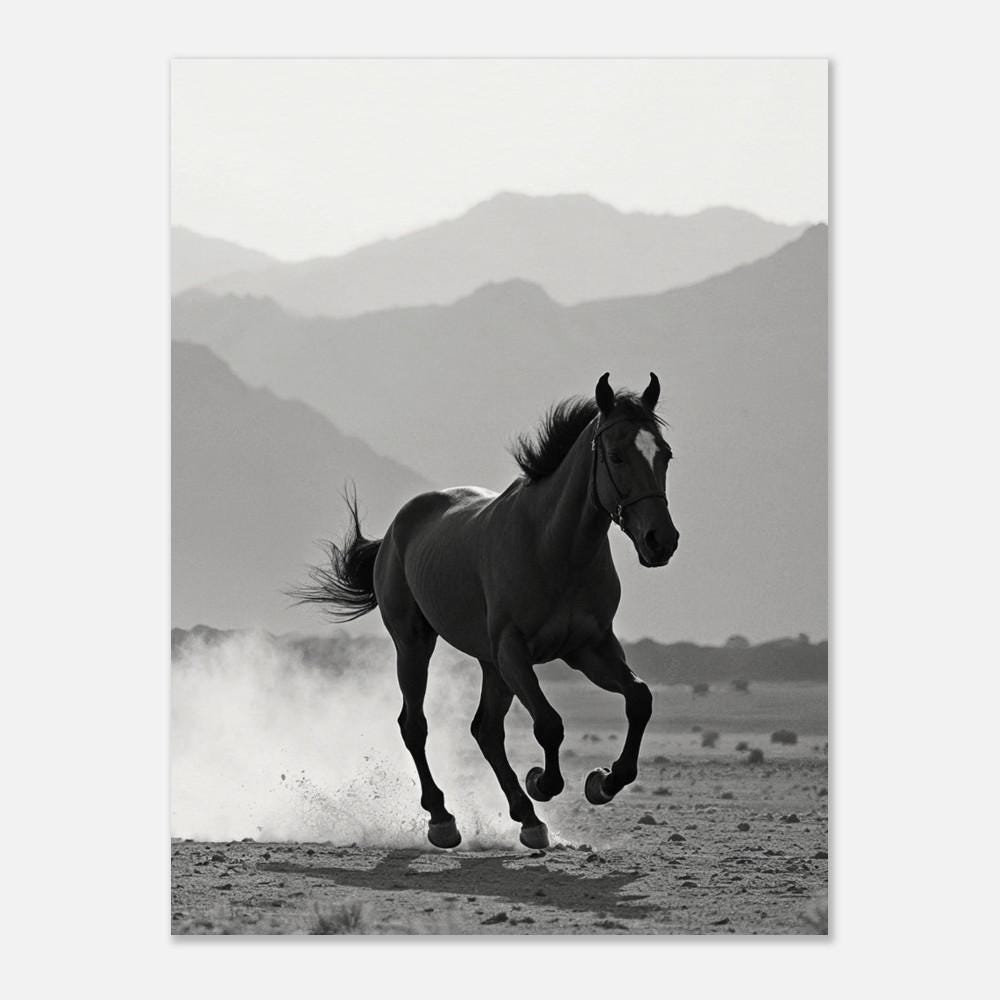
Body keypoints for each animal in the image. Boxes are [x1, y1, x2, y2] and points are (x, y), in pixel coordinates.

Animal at [294, 372, 680, 850]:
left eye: (664, 454)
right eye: (616, 455)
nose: (661, 541)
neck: (555, 548)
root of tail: (397, 527)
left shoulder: (589, 649)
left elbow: (639, 699)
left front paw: (603, 781)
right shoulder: (514, 650)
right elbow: (550, 724)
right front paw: (542, 782)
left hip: (489, 661)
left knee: (486, 730)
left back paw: (527, 818)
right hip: (415, 643)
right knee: (415, 725)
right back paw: (444, 819)